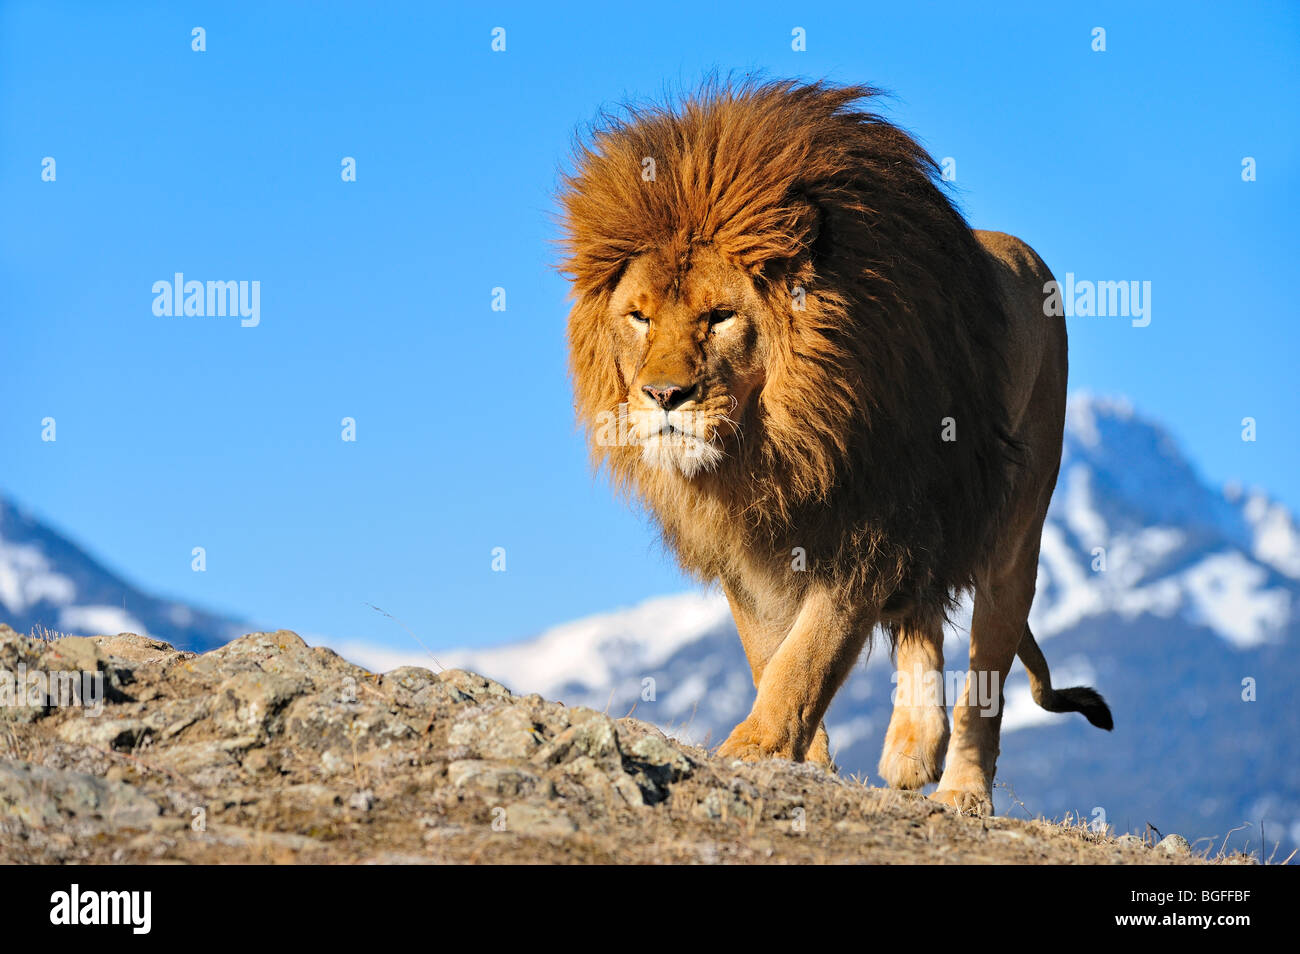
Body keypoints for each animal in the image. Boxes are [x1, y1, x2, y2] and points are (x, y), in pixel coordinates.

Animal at [553, 78, 1112, 816]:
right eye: (639, 317)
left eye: (720, 316)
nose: (664, 396)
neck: (780, 438)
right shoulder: (746, 546)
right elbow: (770, 652)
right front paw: (803, 761)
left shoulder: (875, 524)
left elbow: (809, 652)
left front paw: (754, 750)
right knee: (922, 618)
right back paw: (912, 748)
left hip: (1010, 530)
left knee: (986, 669)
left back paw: (962, 790)